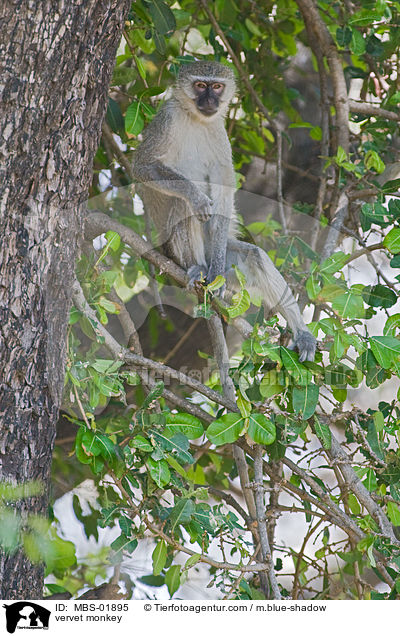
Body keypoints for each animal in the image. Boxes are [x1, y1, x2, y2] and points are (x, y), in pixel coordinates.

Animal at [132, 61, 316, 360]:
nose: (210, 100)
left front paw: (217, 269)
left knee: (255, 256)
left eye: (217, 86)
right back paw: (196, 267)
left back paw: (302, 333)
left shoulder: (219, 131)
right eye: (200, 85)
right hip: (178, 253)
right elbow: (143, 167)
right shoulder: (166, 118)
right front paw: (196, 196)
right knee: (182, 205)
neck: (196, 119)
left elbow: (223, 189)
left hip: (231, 267)